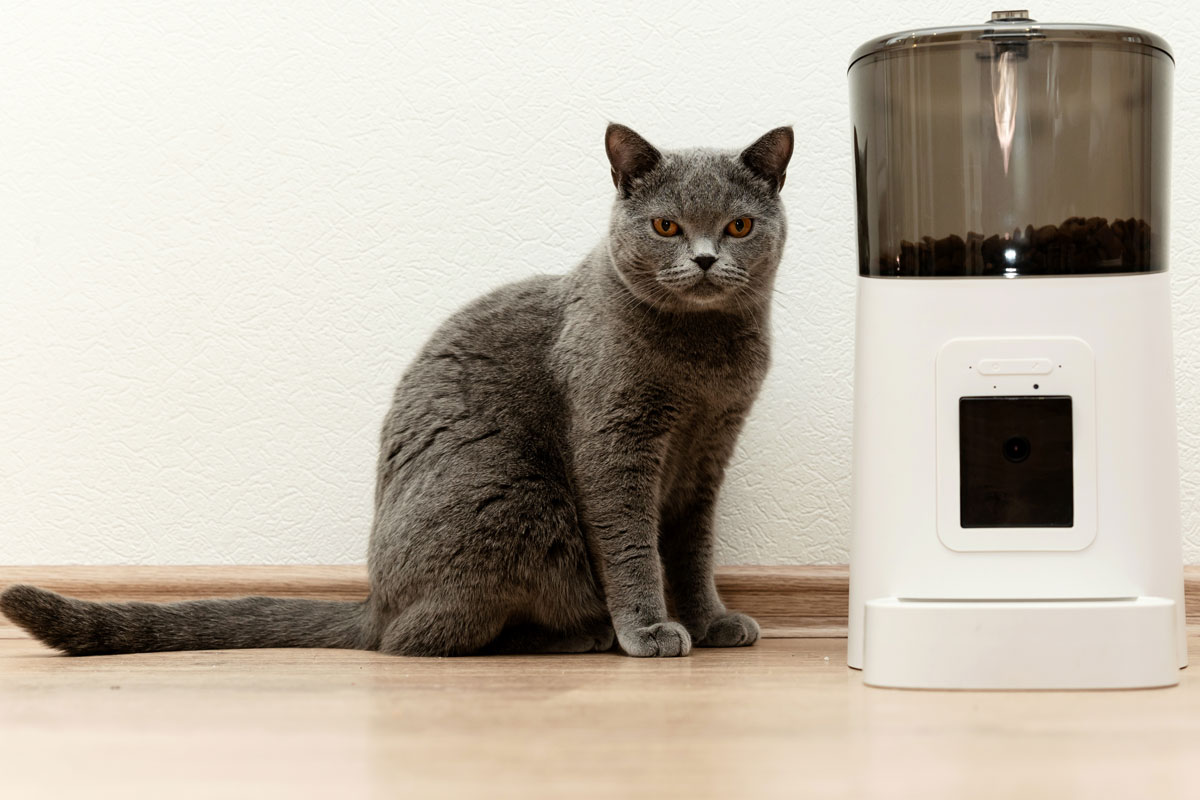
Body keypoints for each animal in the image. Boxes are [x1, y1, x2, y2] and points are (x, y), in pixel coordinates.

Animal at [0, 123, 792, 657]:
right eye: (665, 225)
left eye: (738, 225)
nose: (705, 259)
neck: (703, 366)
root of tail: (373, 601)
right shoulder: (615, 442)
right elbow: (632, 547)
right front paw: (650, 629)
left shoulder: (709, 451)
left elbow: (690, 549)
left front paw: (710, 621)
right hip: (516, 495)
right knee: (418, 639)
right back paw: (585, 634)